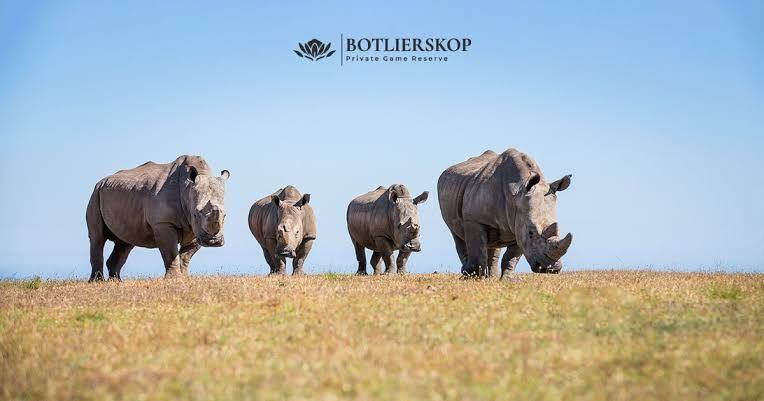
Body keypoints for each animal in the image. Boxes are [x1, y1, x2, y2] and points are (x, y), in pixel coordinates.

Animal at [86, 155, 230, 281]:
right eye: (196, 213)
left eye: (225, 215)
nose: (214, 242)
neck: (186, 189)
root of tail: (101, 181)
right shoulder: (163, 223)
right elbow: (171, 252)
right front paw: (174, 280)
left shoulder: (196, 229)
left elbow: (185, 256)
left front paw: (184, 278)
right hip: (95, 194)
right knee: (97, 238)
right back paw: (97, 282)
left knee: (125, 242)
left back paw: (116, 282)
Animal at [437, 149, 572, 277]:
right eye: (531, 233)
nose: (551, 269)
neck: (516, 194)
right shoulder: (474, 220)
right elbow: (478, 254)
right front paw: (473, 279)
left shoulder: (519, 223)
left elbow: (511, 258)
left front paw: (508, 280)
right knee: (457, 235)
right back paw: (467, 273)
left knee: (493, 245)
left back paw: (491, 277)